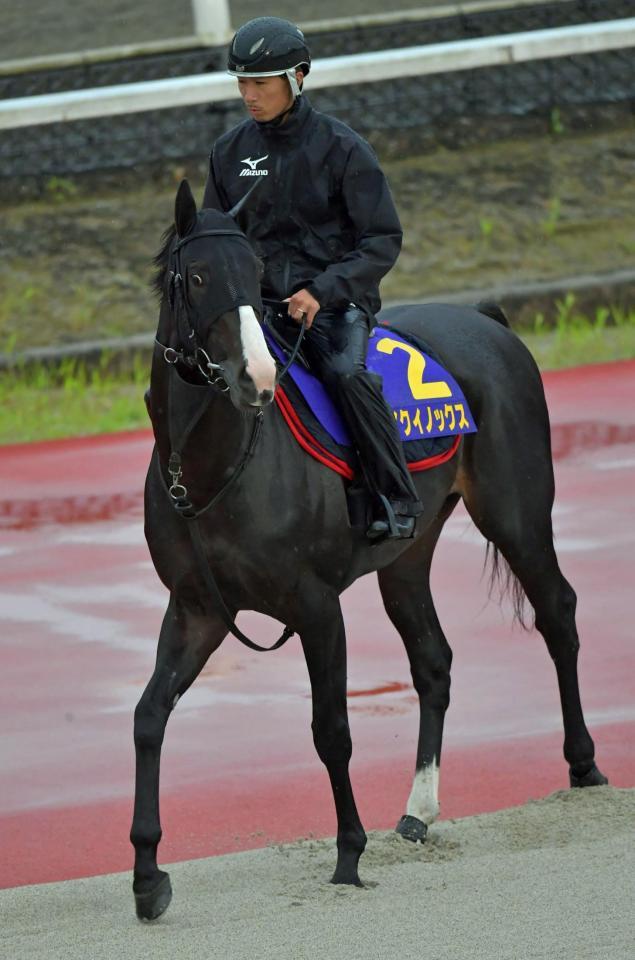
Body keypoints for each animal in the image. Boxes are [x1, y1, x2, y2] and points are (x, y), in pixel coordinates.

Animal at [130, 182, 612, 924]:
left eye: (255, 274)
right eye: (202, 277)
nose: (256, 376)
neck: (216, 466)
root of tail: (488, 322)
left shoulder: (316, 607)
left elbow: (331, 729)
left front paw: (349, 854)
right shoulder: (196, 610)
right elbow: (149, 718)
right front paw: (148, 875)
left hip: (518, 516)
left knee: (557, 614)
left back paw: (583, 764)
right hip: (408, 558)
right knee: (434, 660)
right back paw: (418, 811)